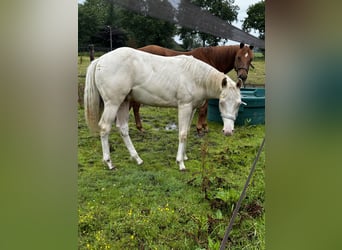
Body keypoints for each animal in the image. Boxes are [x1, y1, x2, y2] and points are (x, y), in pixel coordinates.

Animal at [83, 47, 243, 171]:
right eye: (221, 102)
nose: (228, 131)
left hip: (123, 102)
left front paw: (184, 156)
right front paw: (180, 163)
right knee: (105, 128)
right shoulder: (184, 106)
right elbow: (182, 134)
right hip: (113, 103)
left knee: (123, 129)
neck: (196, 76)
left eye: (238, 104)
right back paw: (109, 163)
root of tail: (100, 60)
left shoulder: (191, 109)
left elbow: (187, 131)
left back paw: (137, 158)